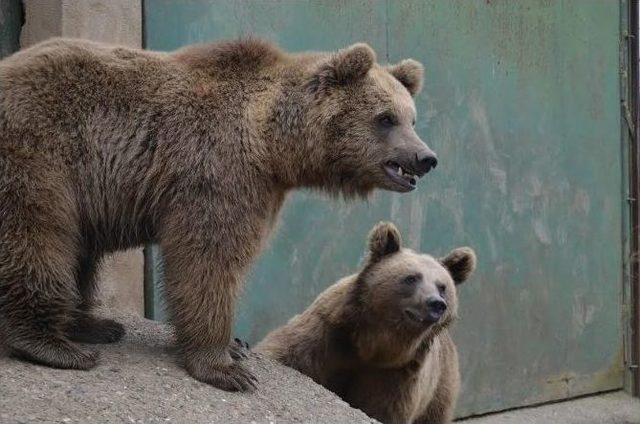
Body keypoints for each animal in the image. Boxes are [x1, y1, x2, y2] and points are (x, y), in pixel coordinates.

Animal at [0, 37, 436, 390]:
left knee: (79, 251)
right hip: (40, 153)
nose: (425, 158)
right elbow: (208, 259)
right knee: (38, 236)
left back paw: (95, 325)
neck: (272, 145)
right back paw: (55, 345)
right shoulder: (218, 169)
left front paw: (235, 347)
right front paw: (226, 367)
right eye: (385, 118)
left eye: (412, 118)